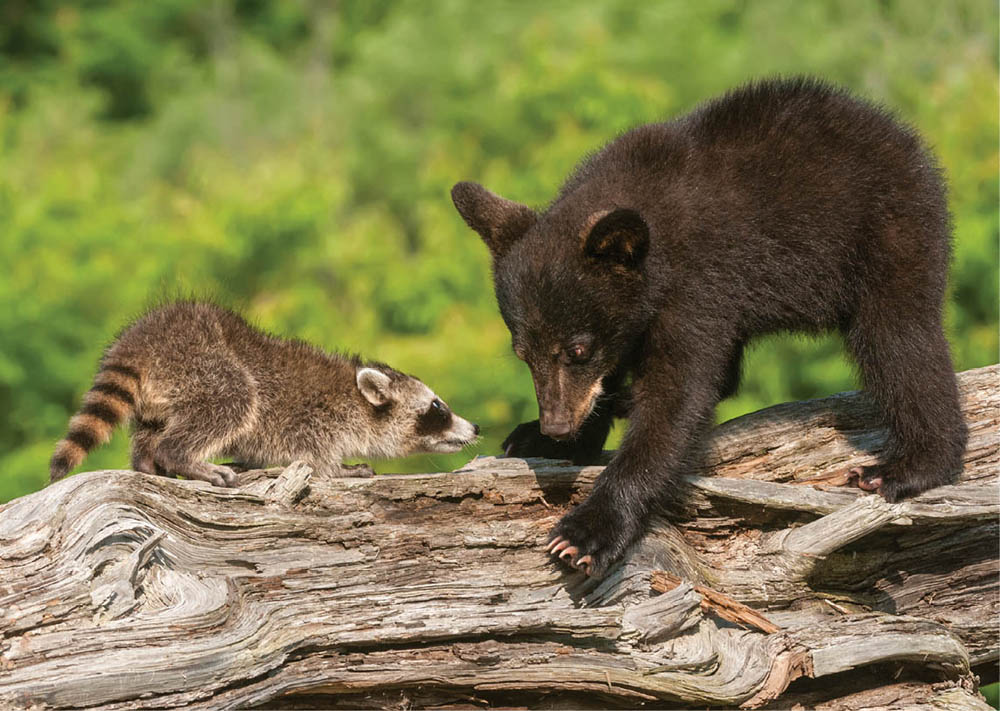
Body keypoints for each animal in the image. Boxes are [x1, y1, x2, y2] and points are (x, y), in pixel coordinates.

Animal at [50, 304, 480, 486]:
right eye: (438, 408)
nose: (475, 427)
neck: (356, 402)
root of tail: (142, 340)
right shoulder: (313, 417)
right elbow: (311, 454)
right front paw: (338, 469)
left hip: (166, 388)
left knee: (151, 430)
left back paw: (149, 462)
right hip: (203, 364)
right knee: (235, 399)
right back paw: (182, 457)